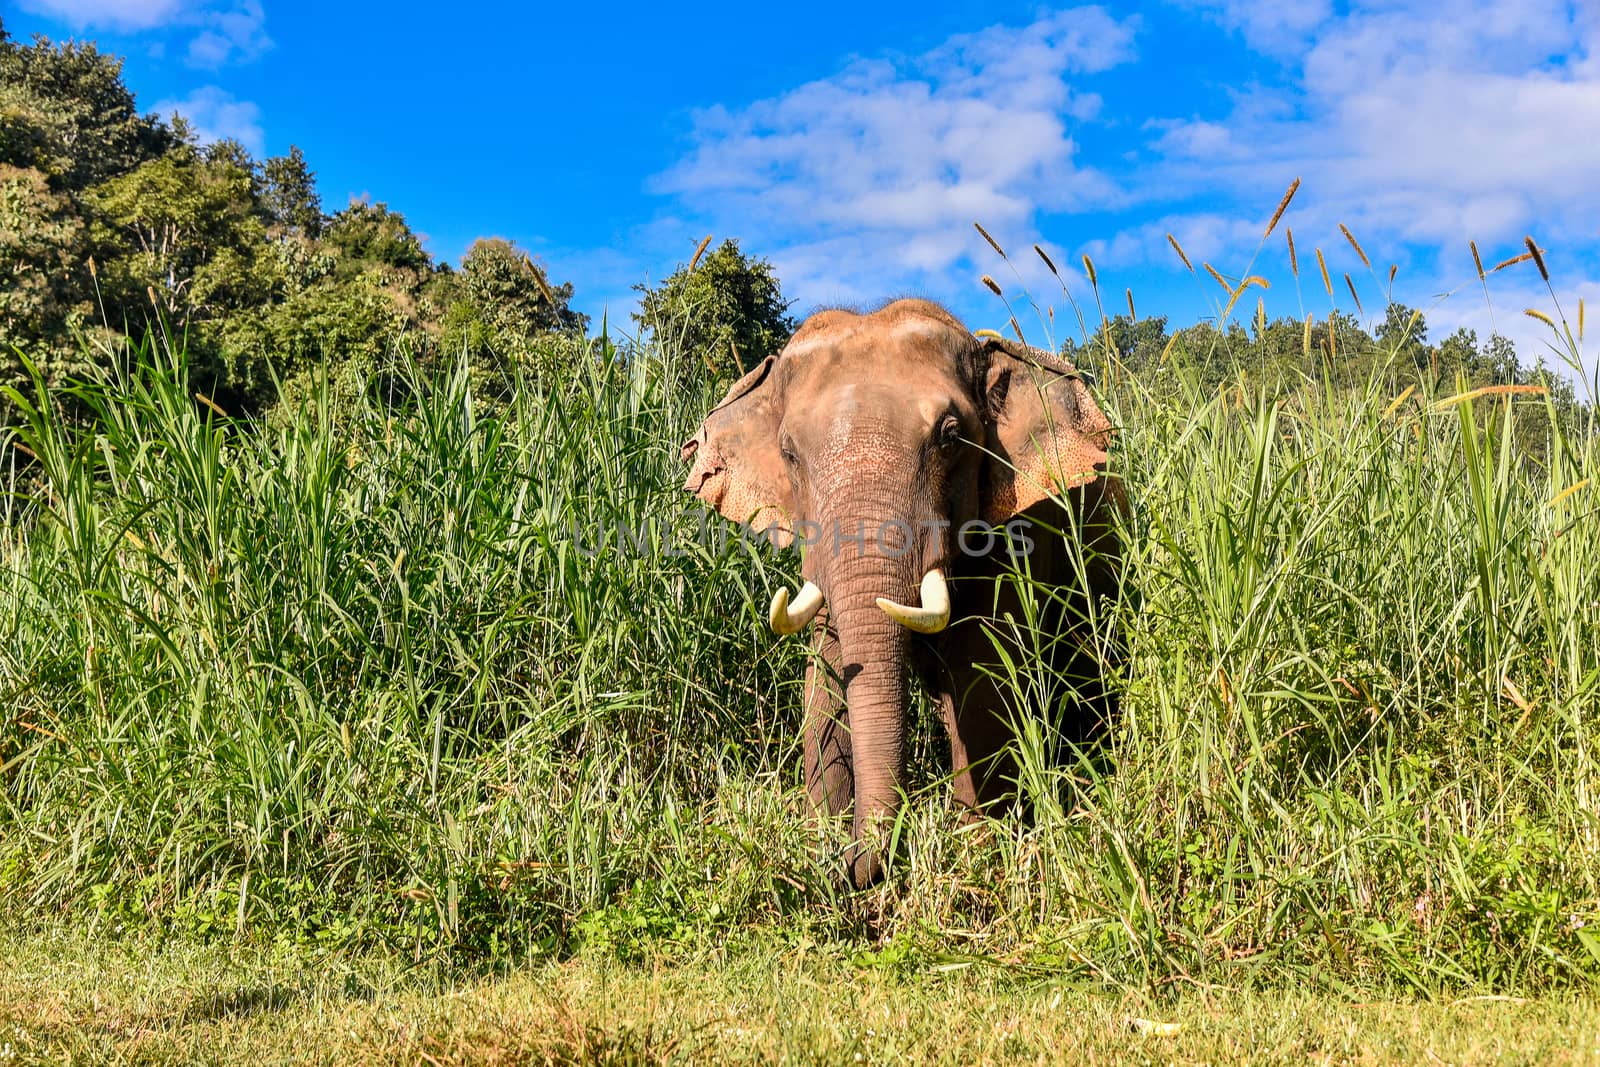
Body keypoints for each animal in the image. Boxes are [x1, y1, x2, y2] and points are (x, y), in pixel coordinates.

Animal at [681, 295, 1120, 889]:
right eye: (789, 453)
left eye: (952, 437)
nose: (855, 865)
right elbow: (827, 675)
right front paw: (821, 847)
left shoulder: (1011, 531)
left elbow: (980, 675)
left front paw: (977, 847)